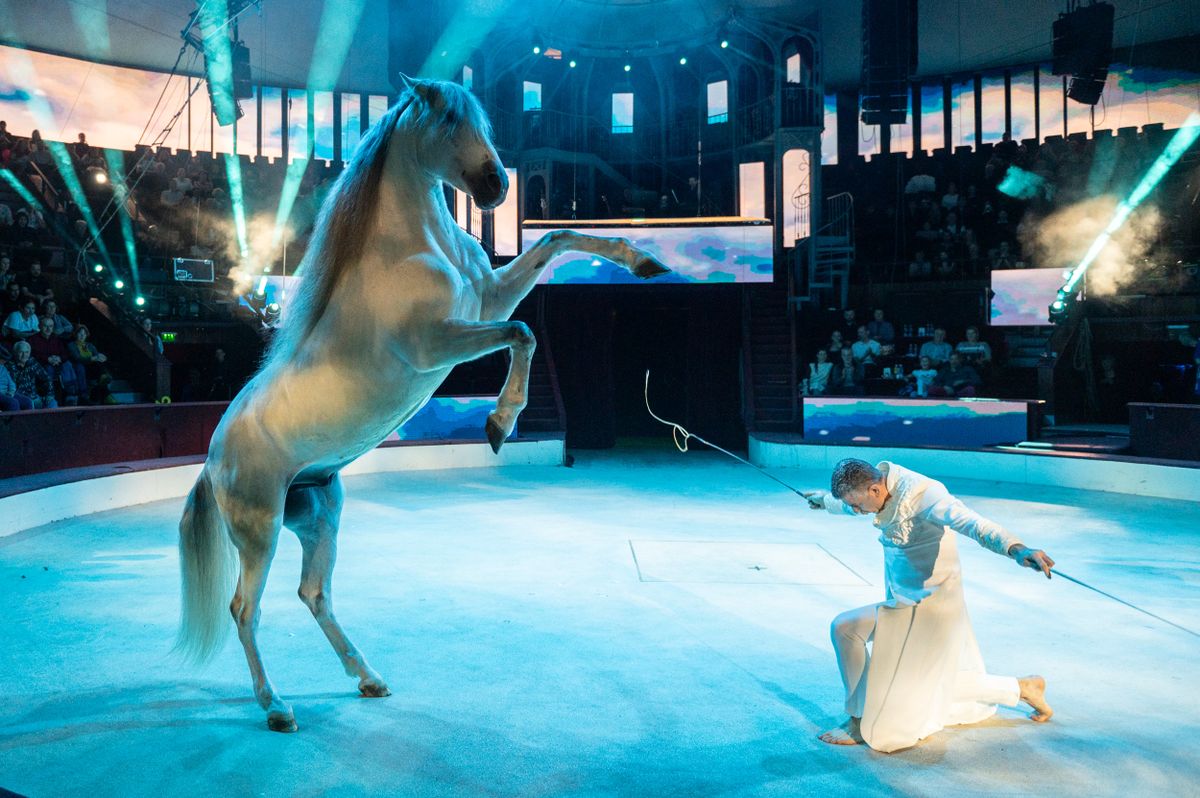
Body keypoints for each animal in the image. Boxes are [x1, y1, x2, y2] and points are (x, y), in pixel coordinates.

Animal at [175, 74, 676, 729]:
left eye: (482, 121)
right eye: (447, 123)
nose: (496, 186)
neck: (413, 248)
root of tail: (212, 460)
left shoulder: (488, 300)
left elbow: (556, 239)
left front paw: (646, 261)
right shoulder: (437, 341)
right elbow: (524, 334)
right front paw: (498, 424)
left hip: (320, 513)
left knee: (314, 594)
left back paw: (368, 678)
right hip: (260, 531)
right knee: (244, 610)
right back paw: (277, 706)